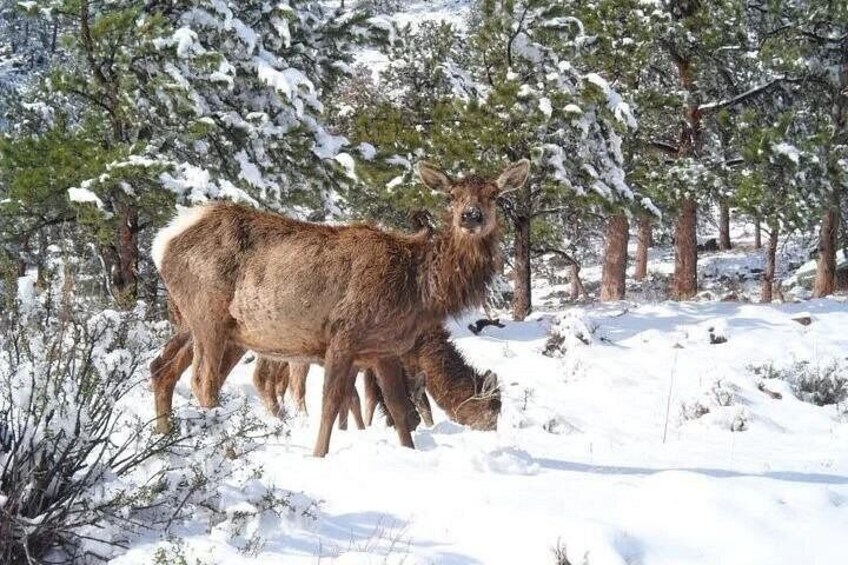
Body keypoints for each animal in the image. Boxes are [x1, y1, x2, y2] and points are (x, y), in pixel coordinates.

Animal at [151, 159, 529, 456]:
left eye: (494, 195)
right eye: (451, 196)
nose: (470, 216)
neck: (418, 292)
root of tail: (163, 239)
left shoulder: (383, 350)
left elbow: (399, 409)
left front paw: (409, 453)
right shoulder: (343, 335)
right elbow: (333, 404)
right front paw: (318, 455)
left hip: (214, 327)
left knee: (163, 368)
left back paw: (165, 438)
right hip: (208, 315)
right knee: (203, 380)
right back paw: (223, 448)